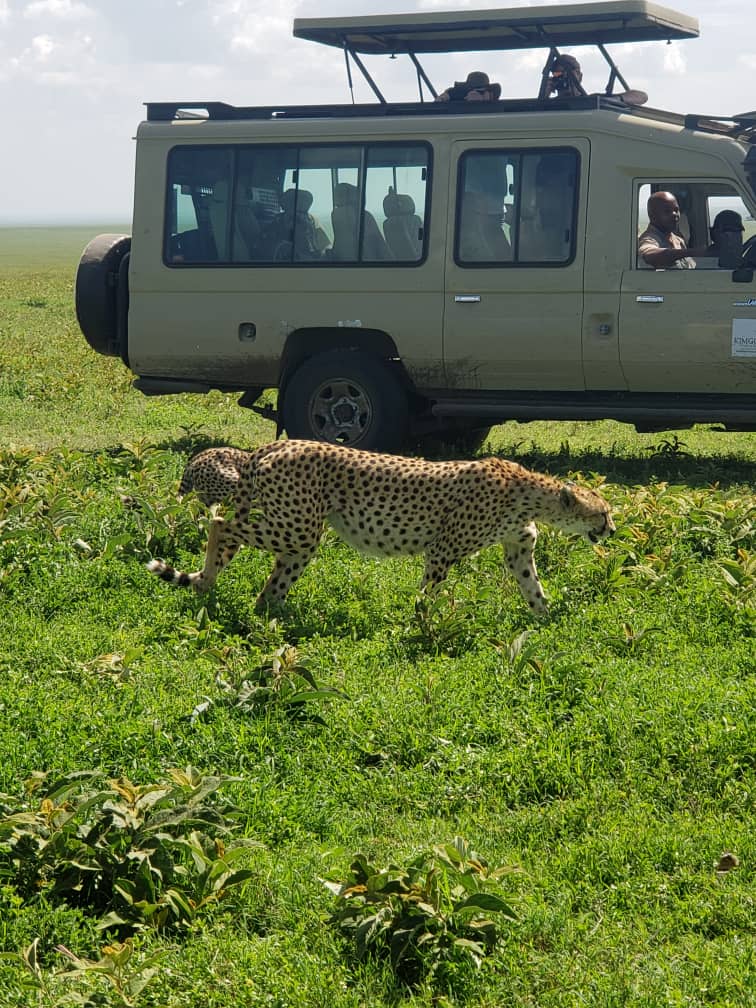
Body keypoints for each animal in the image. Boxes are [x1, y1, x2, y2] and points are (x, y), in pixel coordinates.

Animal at [148, 441, 616, 612]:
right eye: (604, 512)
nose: (612, 531)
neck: (530, 494)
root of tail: (271, 444)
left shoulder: (519, 548)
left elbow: (534, 590)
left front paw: (548, 624)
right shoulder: (443, 550)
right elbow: (427, 595)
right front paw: (420, 625)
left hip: (298, 539)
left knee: (270, 586)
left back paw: (271, 618)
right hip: (298, 528)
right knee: (220, 523)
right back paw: (207, 582)